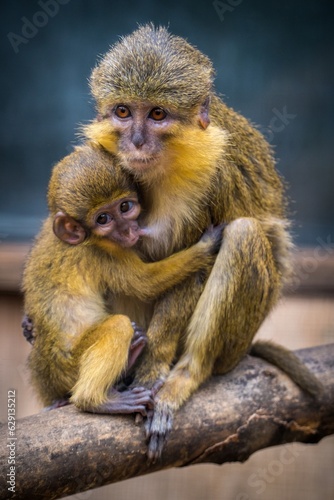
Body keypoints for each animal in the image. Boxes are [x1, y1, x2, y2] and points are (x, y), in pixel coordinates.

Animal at [22, 144, 223, 414]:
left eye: (125, 207)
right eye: (103, 219)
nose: (129, 230)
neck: (82, 239)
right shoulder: (104, 253)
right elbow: (144, 283)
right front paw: (206, 246)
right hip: (69, 367)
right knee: (117, 326)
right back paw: (96, 399)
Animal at [85, 25, 320, 458]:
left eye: (157, 114)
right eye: (123, 112)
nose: (136, 141)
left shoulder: (215, 175)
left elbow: (197, 261)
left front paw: (154, 371)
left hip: (238, 338)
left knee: (243, 234)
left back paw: (186, 375)